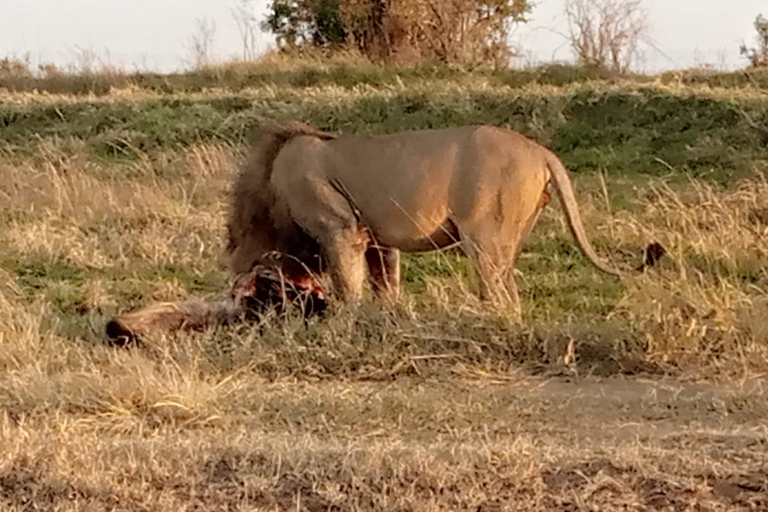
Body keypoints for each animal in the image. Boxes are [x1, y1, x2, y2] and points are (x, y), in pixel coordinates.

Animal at [228, 121, 636, 318]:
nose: (235, 296)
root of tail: (540, 151)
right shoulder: (375, 238)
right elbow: (385, 283)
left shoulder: (341, 228)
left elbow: (348, 284)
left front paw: (344, 323)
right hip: (510, 239)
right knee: (511, 291)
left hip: (484, 239)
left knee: (497, 291)